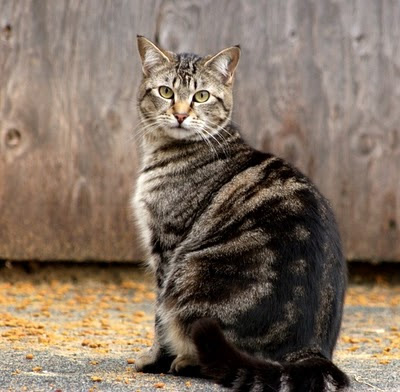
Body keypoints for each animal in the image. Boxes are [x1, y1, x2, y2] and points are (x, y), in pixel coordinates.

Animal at [133, 34, 348, 392]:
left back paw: (186, 361)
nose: (180, 115)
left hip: (190, 275)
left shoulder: (166, 247)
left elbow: (158, 320)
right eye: (166, 92)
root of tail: (310, 351)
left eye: (201, 96)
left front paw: (154, 360)